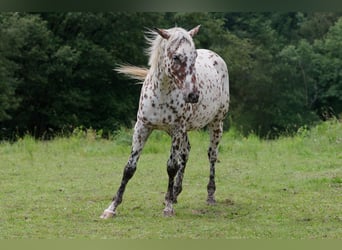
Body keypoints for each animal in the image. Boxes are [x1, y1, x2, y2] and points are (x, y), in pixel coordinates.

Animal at [101, 24, 230, 218]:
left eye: (194, 56)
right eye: (176, 57)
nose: (193, 95)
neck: (161, 93)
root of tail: (216, 57)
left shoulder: (177, 129)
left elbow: (171, 166)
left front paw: (168, 207)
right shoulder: (142, 127)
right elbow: (129, 168)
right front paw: (112, 207)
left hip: (216, 124)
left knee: (212, 155)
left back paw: (210, 195)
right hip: (182, 131)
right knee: (186, 152)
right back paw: (176, 192)